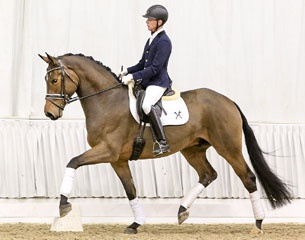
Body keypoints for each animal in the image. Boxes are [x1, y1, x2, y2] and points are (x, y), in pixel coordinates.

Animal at [39, 52, 290, 234]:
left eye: (54, 80)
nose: (50, 113)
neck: (106, 101)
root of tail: (229, 101)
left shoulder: (107, 151)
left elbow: (72, 162)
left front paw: (63, 205)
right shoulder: (117, 159)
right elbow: (130, 190)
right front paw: (136, 224)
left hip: (228, 147)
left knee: (247, 177)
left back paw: (258, 223)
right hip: (192, 149)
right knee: (208, 174)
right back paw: (182, 210)